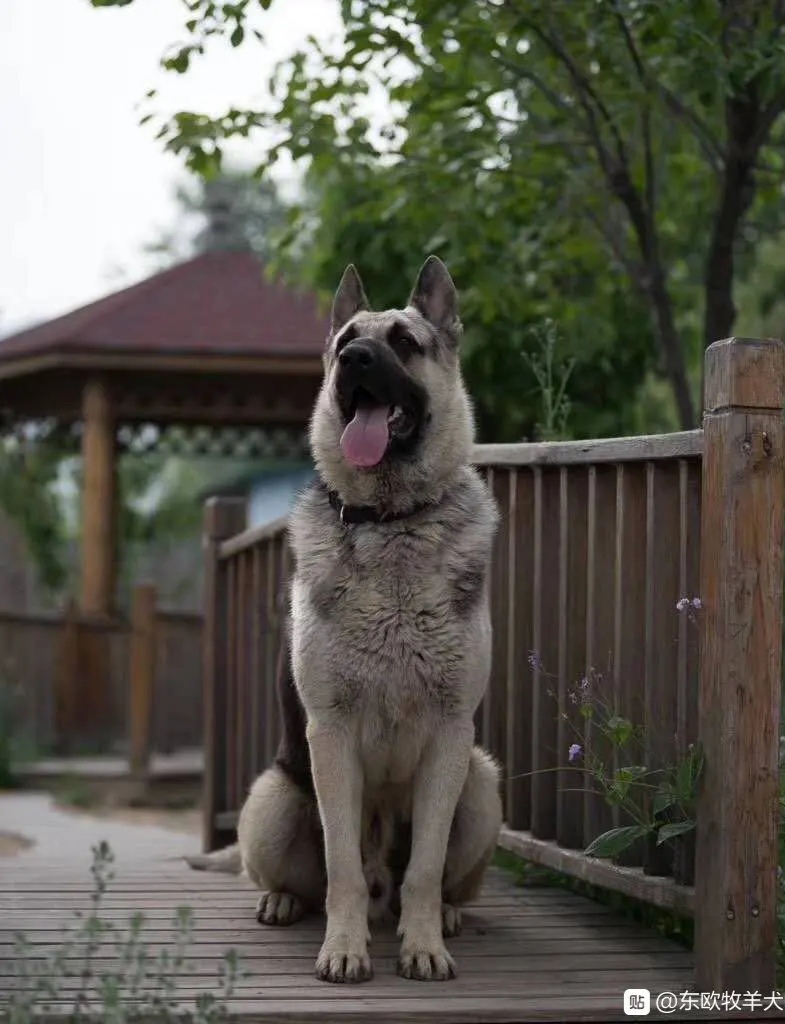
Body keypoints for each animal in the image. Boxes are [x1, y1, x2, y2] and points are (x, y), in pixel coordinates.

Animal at [187, 256, 499, 983]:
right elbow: (341, 869)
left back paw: (443, 915)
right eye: (345, 342)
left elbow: (424, 867)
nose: (354, 360)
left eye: (404, 343)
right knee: (302, 876)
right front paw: (344, 949)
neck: (390, 521)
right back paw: (282, 901)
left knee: (430, 878)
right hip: (272, 799)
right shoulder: (329, 737)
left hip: (481, 782)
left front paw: (422, 945)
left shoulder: (451, 737)